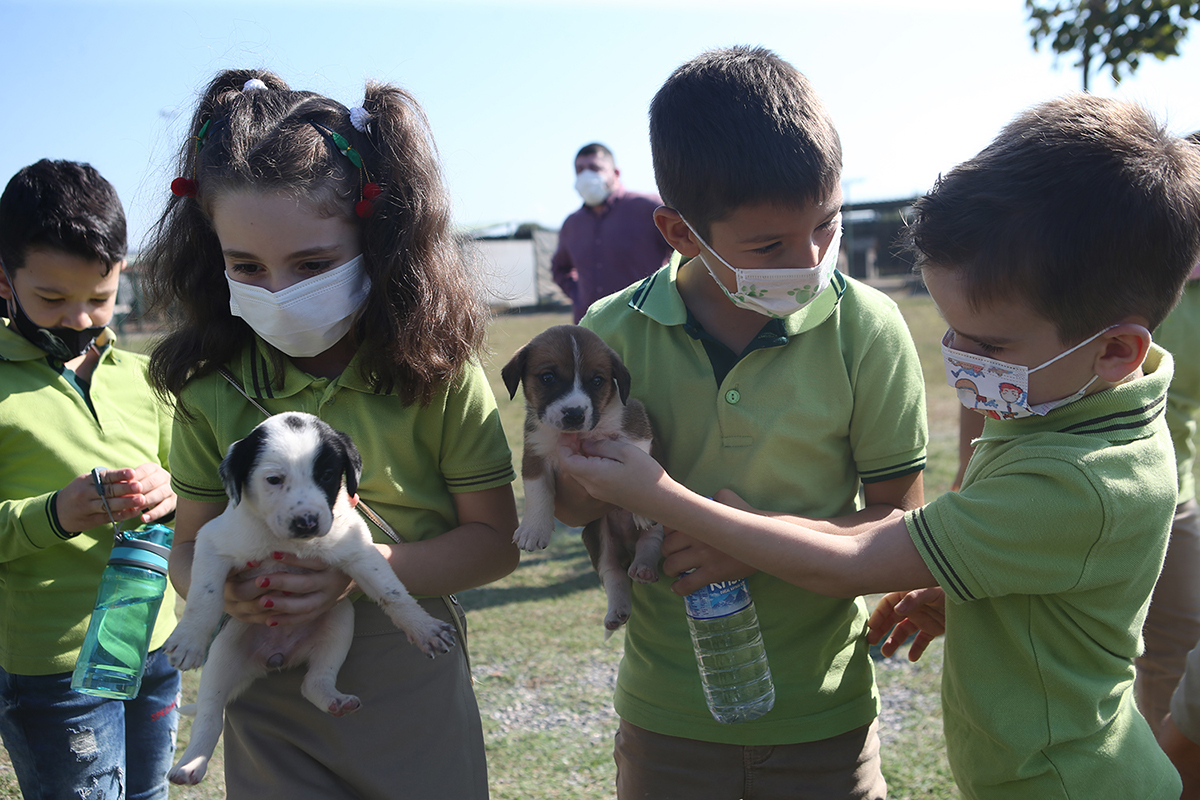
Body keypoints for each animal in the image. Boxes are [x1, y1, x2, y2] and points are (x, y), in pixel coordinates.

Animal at [164, 417, 453, 786]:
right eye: (274, 479)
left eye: (327, 474)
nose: (307, 522)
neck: (285, 542)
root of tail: (279, 656)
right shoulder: (212, 543)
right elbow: (205, 596)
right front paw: (188, 640)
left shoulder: (359, 550)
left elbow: (393, 593)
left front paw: (423, 627)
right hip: (225, 654)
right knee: (210, 714)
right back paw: (191, 764)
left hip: (340, 621)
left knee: (313, 682)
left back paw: (334, 700)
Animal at [499, 321, 667, 633]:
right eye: (548, 377)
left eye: (597, 380)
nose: (574, 413)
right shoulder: (535, 455)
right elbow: (538, 493)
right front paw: (533, 529)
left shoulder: (636, 427)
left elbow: (640, 460)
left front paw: (640, 504)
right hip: (597, 538)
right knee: (613, 572)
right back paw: (619, 605)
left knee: (650, 539)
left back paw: (644, 565)